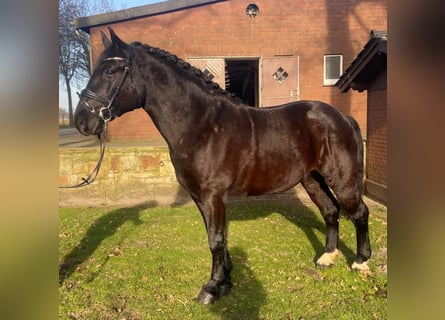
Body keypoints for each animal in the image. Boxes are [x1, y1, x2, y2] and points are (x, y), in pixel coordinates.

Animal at [74, 28, 370, 304]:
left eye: (110, 70)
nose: (81, 121)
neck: (202, 124)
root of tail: (343, 118)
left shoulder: (213, 196)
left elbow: (215, 239)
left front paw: (212, 287)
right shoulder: (202, 197)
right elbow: (217, 237)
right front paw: (226, 279)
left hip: (341, 180)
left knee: (359, 213)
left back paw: (360, 262)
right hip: (312, 179)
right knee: (330, 211)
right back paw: (327, 257)